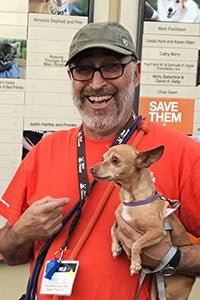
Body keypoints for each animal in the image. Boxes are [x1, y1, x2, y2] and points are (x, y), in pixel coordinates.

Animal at [90, 144, 195, 298]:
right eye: (102, 158)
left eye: (115, 160)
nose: (91, 168)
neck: (132, 201)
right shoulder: (119, 220)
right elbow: (112, 230)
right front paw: (115, 248)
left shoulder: (157, 231)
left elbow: (136, 243)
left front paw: (135, 264)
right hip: (154, 289)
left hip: (172, 292)